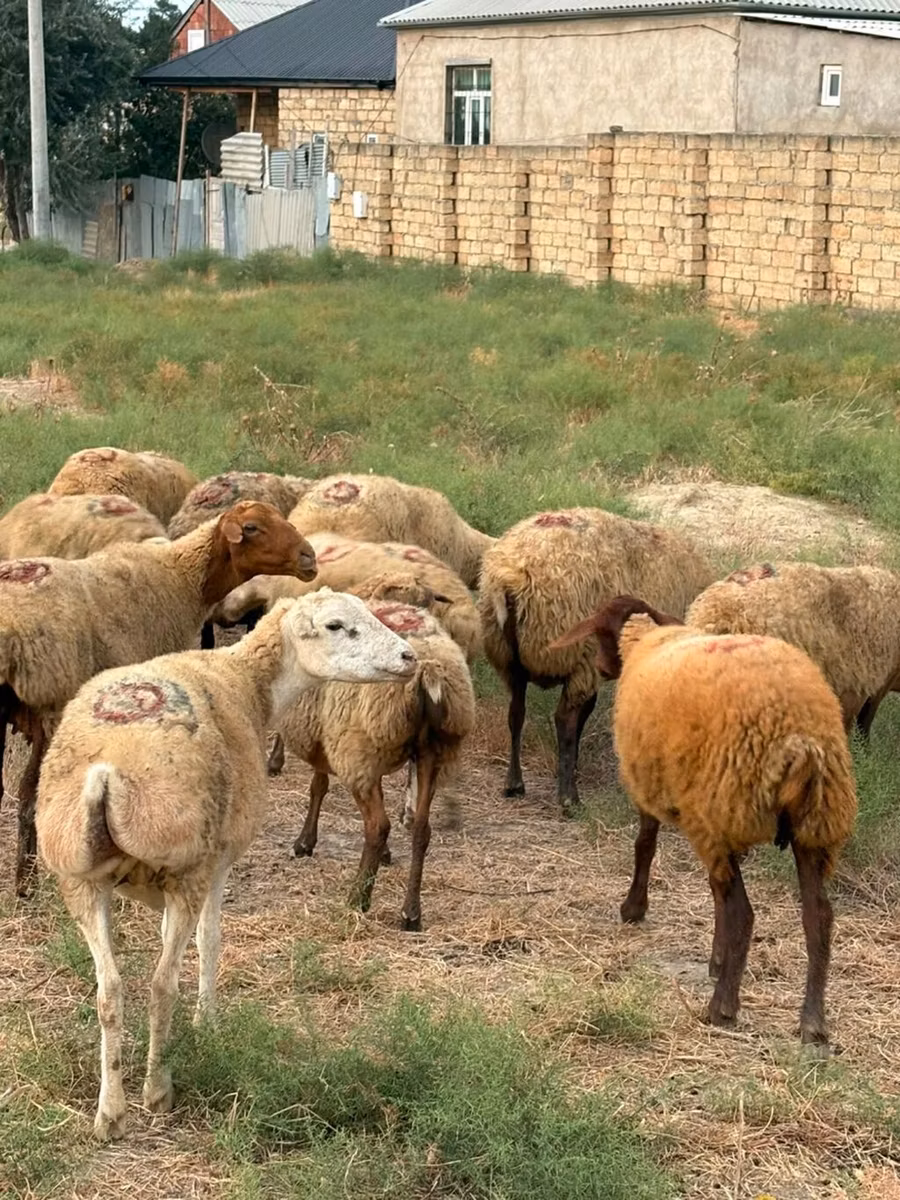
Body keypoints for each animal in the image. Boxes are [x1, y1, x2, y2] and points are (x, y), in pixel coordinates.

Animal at [0, 500, 316, 894]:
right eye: (252, 527)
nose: (309, 557)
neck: (181, 578)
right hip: (50, 704)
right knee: (30, 795)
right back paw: (26, 882)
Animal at [35, 590, 417, 1141]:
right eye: (335, 625)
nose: (410, 657)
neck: (248, 681)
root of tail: (108, 772)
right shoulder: (219, 862)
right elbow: (210, 940)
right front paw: (206, 1025)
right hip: (186, 869)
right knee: (160, 983)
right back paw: (157, 1091)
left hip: (79, 880)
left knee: (110, 991)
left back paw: (110, 1112)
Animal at [275, 599, 476, 931]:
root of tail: (426, 670)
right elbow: (320, 783)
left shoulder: (338, 738)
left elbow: (318, 785)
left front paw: (304, 842)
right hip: (433, 750)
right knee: (421, 828)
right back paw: (411, 914)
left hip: (359, 751)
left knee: (377, 826)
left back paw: (358, 899)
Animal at [478, 507, 714, 813]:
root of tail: (510, 579)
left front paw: (572, 765)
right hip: (574, 652)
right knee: (563, 718)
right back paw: (569, 798)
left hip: (509, 658)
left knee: (516, 712)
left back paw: (515, 784)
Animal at [553, 595, 857, 1049]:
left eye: (601, 632)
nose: (604, 669)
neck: (646, 639)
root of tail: (798, 738)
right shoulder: (718, 824)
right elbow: (716, 893)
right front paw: (716, 958)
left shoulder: (655, 788)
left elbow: (645, 846)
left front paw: (633, 908)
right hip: (813, 823)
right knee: (818, 916)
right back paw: (812, 1023)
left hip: (728, 805)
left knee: (745, 914)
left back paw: (722, 1008)